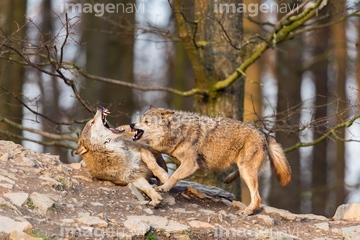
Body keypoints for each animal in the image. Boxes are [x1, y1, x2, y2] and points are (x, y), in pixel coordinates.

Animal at [131, 106, 292, 215]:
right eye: (140, 119)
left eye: (146, 121)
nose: (132, 124)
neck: (178, 131)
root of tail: (264, 134)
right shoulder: (161, 151)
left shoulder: (190, 164)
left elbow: (174, 176)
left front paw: (164, 187)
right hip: (244, 168)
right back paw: (228, 179)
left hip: (247, 170)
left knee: (257, 197)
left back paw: (247, 211)